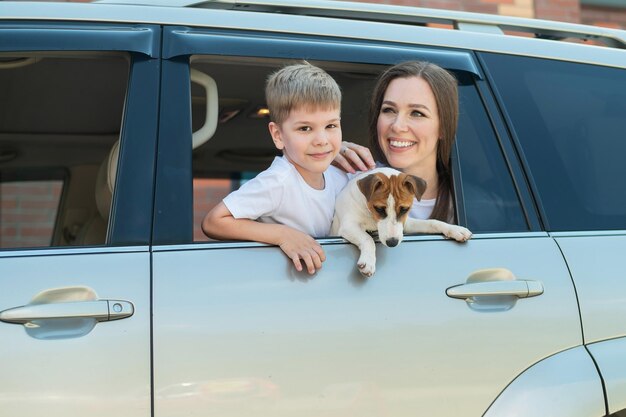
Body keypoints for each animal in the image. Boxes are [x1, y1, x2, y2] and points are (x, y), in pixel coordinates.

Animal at [332, 166, 468, 276]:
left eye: (404, 209)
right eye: (379, 209)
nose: (392, 243)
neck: (370, 215)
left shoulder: (405, 223)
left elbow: (432, 222)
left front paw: (455, 229)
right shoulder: (348, 225)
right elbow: (367, 238)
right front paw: (368, 261)